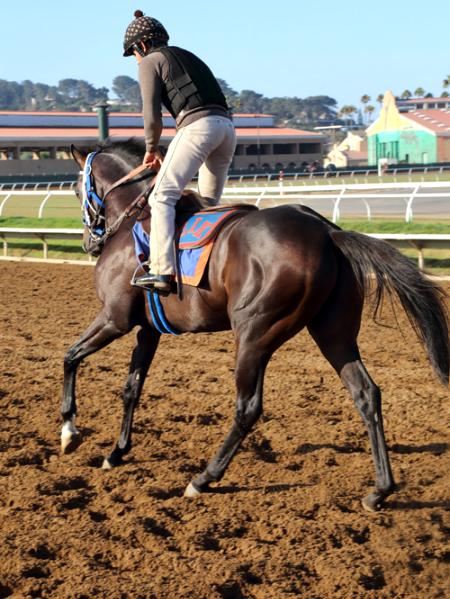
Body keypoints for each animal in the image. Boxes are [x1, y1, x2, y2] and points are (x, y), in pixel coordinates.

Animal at [61, 139, 448, 510]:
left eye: (77, 190)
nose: (88, 243)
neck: (134, 221)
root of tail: (327, 233)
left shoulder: (115, 318)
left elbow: (71, 356)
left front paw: (69, 430)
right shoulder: (148, 329)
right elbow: (132, 387)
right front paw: (116, 452)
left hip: (254, 334)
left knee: (248, 407)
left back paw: (203, 478)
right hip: (334, 333)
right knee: (366, 393)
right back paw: (380, 490)